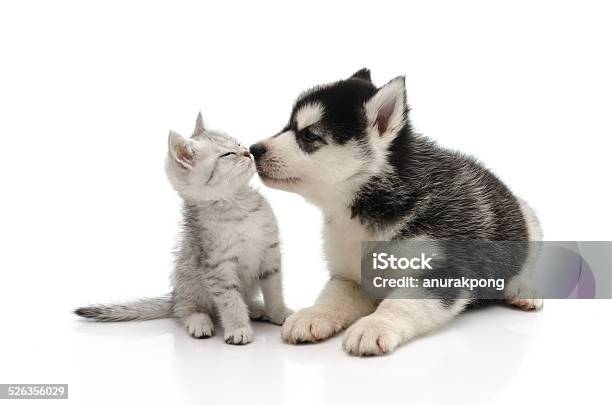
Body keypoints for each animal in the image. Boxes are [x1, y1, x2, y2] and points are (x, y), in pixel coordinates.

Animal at [75, 113, 290, 344]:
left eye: (238, 143)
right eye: (228, 154)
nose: (248, 152)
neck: (239, 205)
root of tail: (173, 297)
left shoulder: (270, 254)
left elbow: (274, 290)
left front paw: (279, 313)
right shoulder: (218, 267)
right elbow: (230, 301)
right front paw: (238, 328)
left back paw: (257, 308)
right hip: (188, 280)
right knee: (187, 310)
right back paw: (200, 322)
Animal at [251, 71, 544, 356]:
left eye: (309, 135)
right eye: (288, 126)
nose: (254, 149)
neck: (366, 207)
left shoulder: (442, 268)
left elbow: (400, 303)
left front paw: (373, 326)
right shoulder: (350, 276)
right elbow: (333, 295)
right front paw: (313, 314)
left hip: (529, 220)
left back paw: (524, 289)